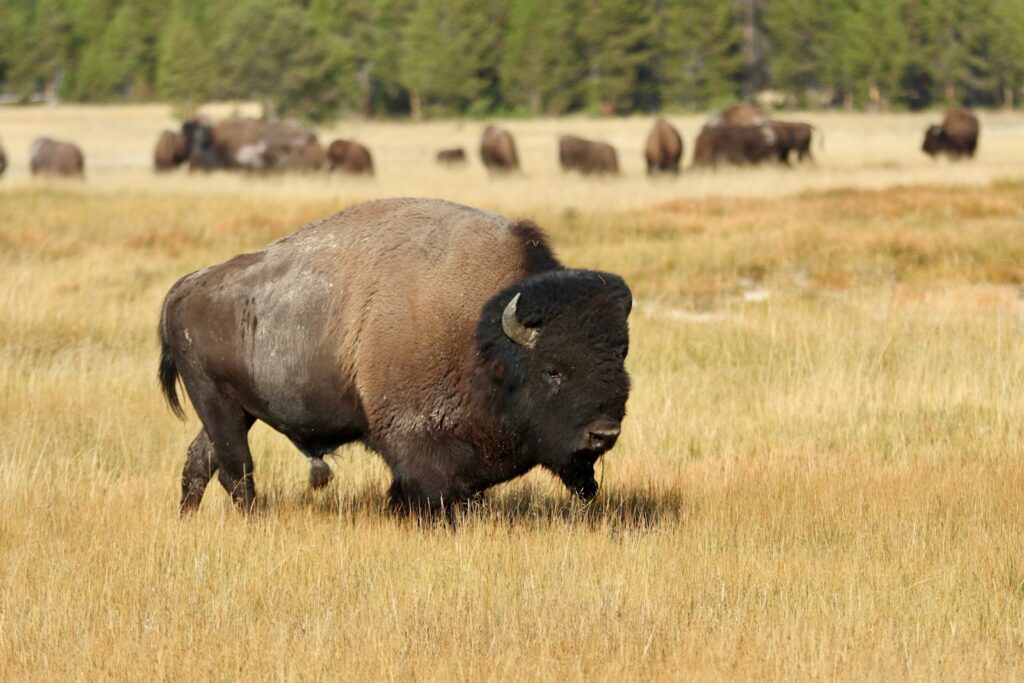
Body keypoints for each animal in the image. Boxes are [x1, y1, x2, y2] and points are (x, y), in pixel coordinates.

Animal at [159, 198, 632, 516]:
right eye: (553, 370)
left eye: (622, 366)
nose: (603, 433)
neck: (484, 338)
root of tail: (186, 286)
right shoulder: (419, 442)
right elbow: (433, 490)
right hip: (216, 402)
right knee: (235, 469)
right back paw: (254, 519)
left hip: (237, 410)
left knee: (201, 460)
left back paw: (189, 520)